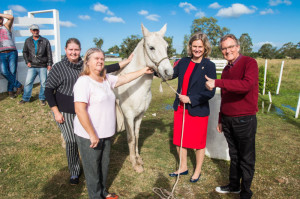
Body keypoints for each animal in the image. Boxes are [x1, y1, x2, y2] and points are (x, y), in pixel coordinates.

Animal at [113, 23, 173, 173]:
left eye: (166, 46)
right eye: (151, 47)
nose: (169, 72)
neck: (135, 86)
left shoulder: (139, 115)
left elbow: (136, 135)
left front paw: (137, 158)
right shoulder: (128, 116)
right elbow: (131, 138)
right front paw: (135, 164)